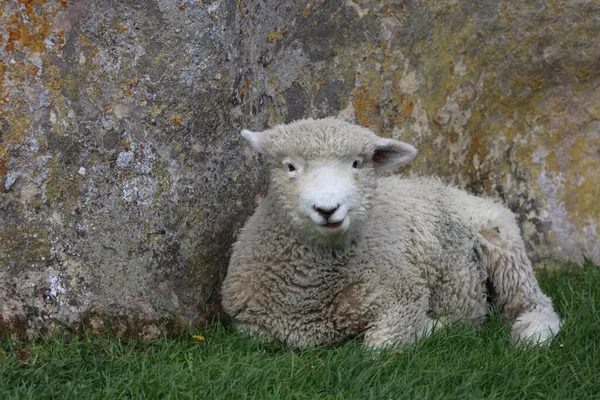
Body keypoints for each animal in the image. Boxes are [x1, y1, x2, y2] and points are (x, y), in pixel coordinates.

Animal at [221, 117, 564, 348]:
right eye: (290, 167)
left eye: (356, 164)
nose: (327, 208)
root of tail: (442, 185)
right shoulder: (247, 322)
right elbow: (255, 337)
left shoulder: (403, 295)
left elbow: (381, 348)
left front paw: (433, 328)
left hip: (502, 239)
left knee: (535, 301)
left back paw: (533, 332)